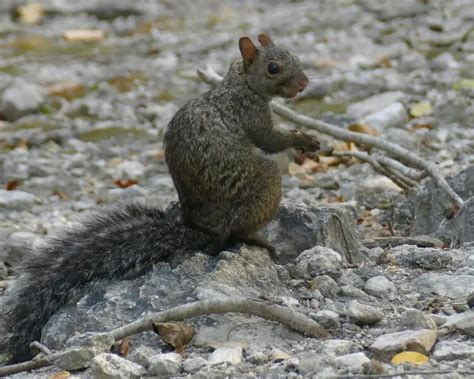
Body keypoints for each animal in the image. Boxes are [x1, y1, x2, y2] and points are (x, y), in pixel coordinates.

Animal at [0, 32, 318, 366]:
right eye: (273, 68)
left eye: (295, 57)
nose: (304, 83)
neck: (239, 81)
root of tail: (204, 230)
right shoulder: (250, 112)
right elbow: (270, 141)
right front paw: (304, 139)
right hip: (264, 184)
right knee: (234, 235)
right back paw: (257, 240)